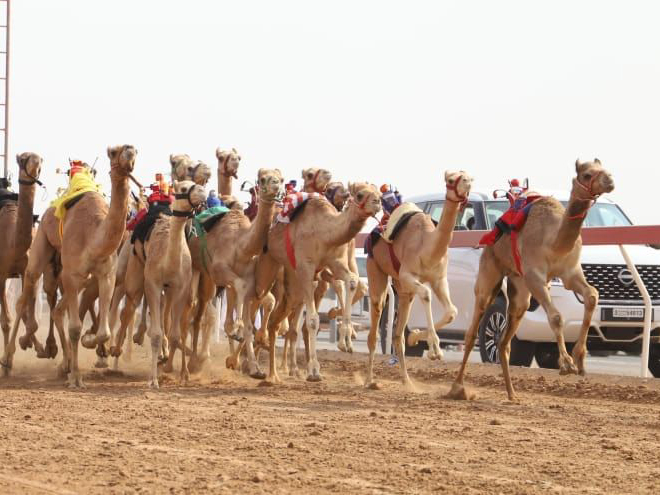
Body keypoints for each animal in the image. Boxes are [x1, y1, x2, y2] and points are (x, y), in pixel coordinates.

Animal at [0, 145, 138, 386]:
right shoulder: (72, 274)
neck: (94, 237)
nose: (129, 153)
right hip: (40, 251)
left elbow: (103, 331)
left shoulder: (106, 275)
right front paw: (76, 376)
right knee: (26, 295)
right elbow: (74, 327)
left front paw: (91, 344)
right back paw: (11, 357)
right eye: (113, 152)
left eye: (134, 151)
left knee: (56, 309)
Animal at [256, 184, 384, 382]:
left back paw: (273, 372)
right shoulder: (306, 268)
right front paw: (314, 371)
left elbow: (352, 281)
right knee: (256, 297)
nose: (377, 203)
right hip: (268, 261)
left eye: (379, 194)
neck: (324, 232)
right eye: (360, 194)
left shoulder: (334, 263)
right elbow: (312, 320)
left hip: (291, 281)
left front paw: (346, 342)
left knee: (277, 320)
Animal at [364, 172, 472, 390]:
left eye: (467, 175)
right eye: (451, 179)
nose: (468, 183)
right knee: (374, 323)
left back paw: (407, 381)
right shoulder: (408, 274)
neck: (427, 246)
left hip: (403, 290)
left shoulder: (439, 279)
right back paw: (370, 380)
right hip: (376, 269)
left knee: (397, 335)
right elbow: (427, 294)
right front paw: (435, 351)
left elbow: (451, 312)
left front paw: (415, 337)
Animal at [448, 160, 612, 404]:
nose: (610, 181)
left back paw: (512, 394)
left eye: (606, 170)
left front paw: (580, 360)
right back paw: (457, 388)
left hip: (520, 289)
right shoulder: (535, 276)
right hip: (490, 274)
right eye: (586, 174)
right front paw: (566, 364)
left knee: (504, 342)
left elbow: (592, 295)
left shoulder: (570, 273)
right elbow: (556, 316)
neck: (554, 242)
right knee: (472, 331)